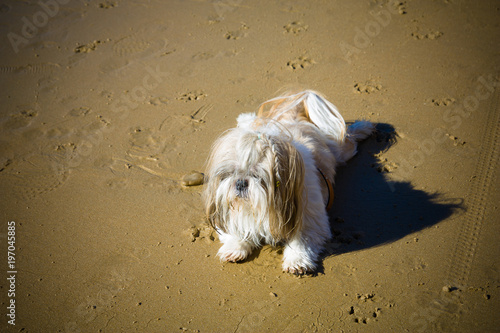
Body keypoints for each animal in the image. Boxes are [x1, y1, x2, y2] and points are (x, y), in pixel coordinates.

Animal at [201, 89, 374, 274]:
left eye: (258, 176)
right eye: (230, 173)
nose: (240, 182)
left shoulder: (309, 219)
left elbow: (301, 241)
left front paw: (297, 260)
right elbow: (236, 230)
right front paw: (235, 247)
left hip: (339, 149)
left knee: (349, 138)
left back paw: (364, 127)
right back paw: (244, 118)